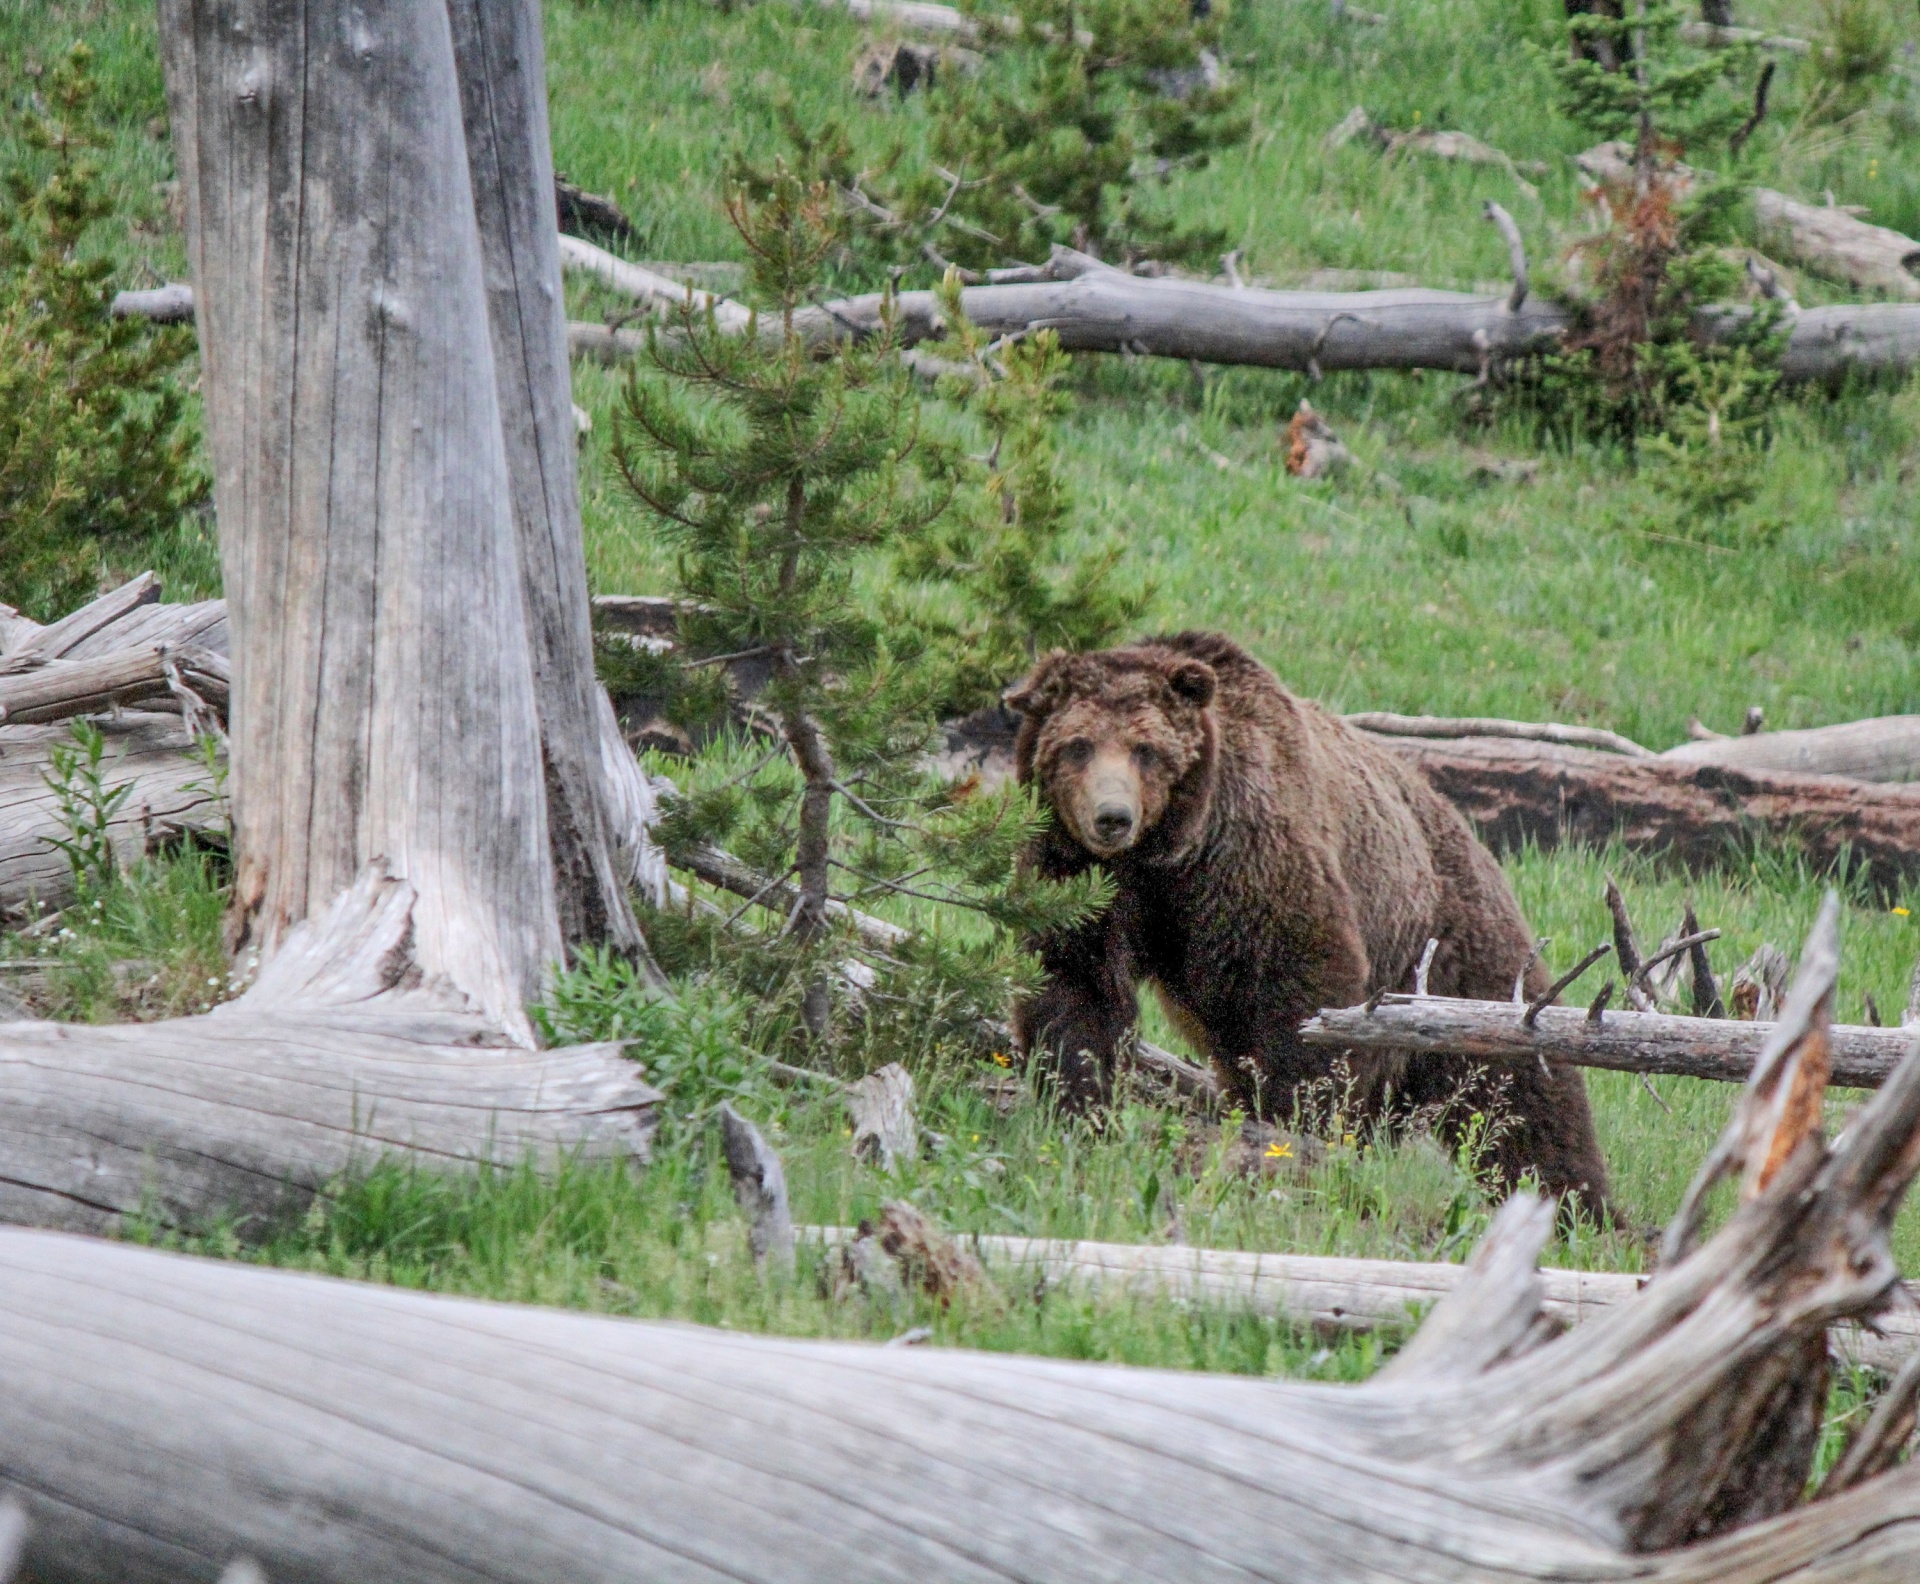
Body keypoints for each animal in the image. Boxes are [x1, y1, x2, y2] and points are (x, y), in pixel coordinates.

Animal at [1013, 625, 1612, 1213]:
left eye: (1146, 749)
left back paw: (1580, 1205)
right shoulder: (1085, 882)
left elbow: (1294, 997)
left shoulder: (1249, 860)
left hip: (1448, 951)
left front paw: (1292, 1126)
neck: (1166, 854)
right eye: (1078, 745)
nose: (1112, 817)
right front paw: (1079, 1104)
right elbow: (1075, 988)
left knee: (1517, 1091)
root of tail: (1468, 832)